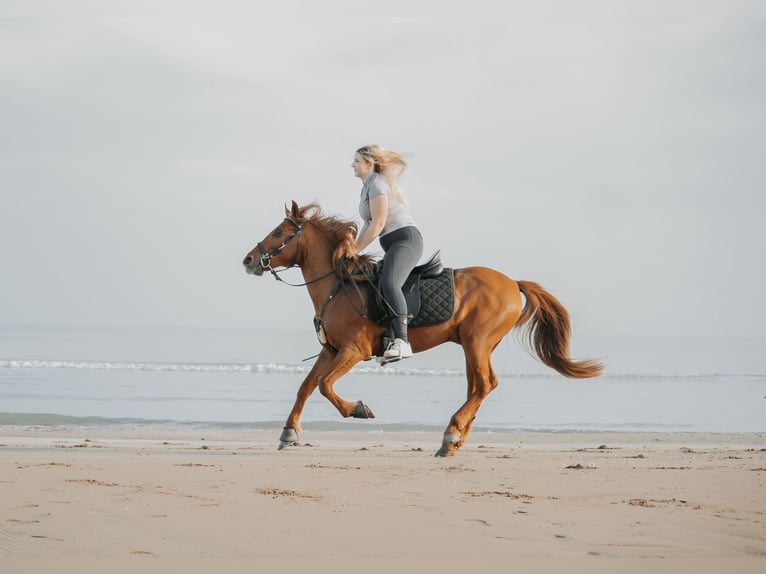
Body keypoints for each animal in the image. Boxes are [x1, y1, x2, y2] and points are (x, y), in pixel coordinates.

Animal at [243, 202, 604, 460]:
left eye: (279, 231)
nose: (248, 259)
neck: (339, 286)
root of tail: (513, 283)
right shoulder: (330, 349)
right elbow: (306, 386)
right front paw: (289, 432)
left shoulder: (353, 351)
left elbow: (324, 385)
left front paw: (358, 409)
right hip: (476, 346)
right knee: (479, 387)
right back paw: (453, 442)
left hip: (477, 342)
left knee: (484, 384)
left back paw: (451, 435)